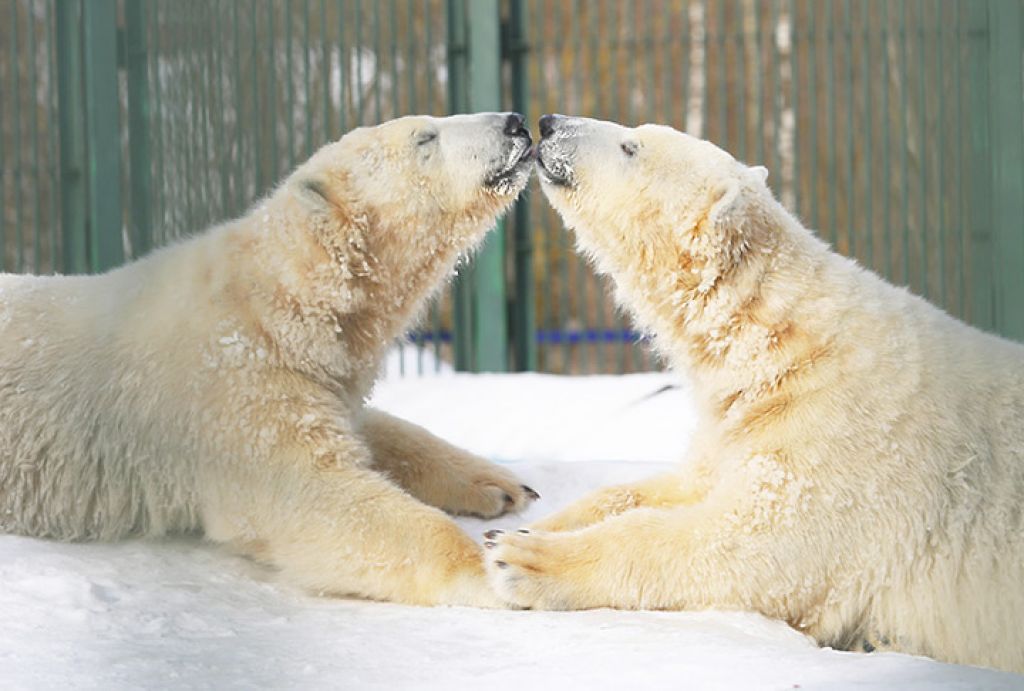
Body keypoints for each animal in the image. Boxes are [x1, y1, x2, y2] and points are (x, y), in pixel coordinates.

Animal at [0, 111, 540, 610]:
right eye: (425, 137)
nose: (515, 123)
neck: (283, 299)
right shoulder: (234, 391)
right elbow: (313, 494)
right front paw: (498, 567)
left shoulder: (317, 373)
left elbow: (372, 429)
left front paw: (501, 485)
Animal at [485, 116, 1024, 671]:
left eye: (631, 147)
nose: (549, 124)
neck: (780, 345)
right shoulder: (736, 417)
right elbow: (674, 485)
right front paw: (523, 527)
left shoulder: (845, 446)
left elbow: (752, 545)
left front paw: (525, 559)